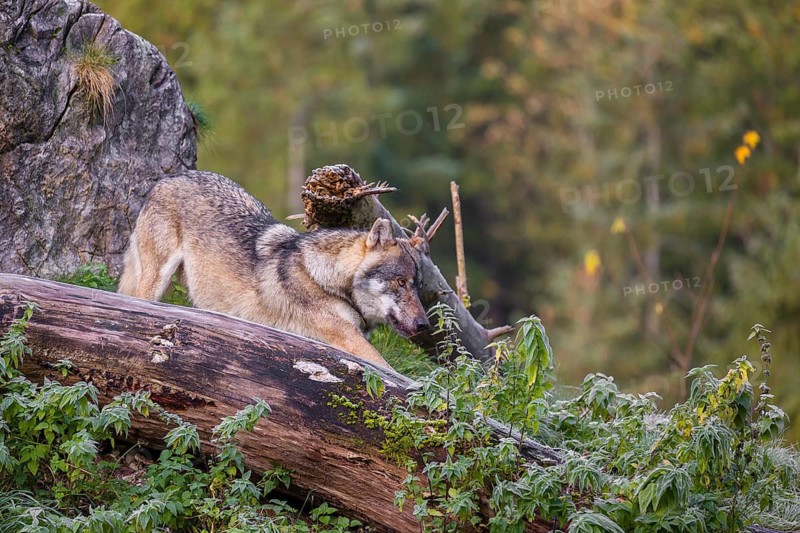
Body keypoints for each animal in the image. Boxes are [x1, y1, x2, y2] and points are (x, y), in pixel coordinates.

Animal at [117, 170, 430, 368]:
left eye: (416, 285)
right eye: (400, 282)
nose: (424, 325)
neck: (324, 278)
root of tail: (170, 177)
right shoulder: (347, 339)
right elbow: (392, 372)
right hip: (155, 283)